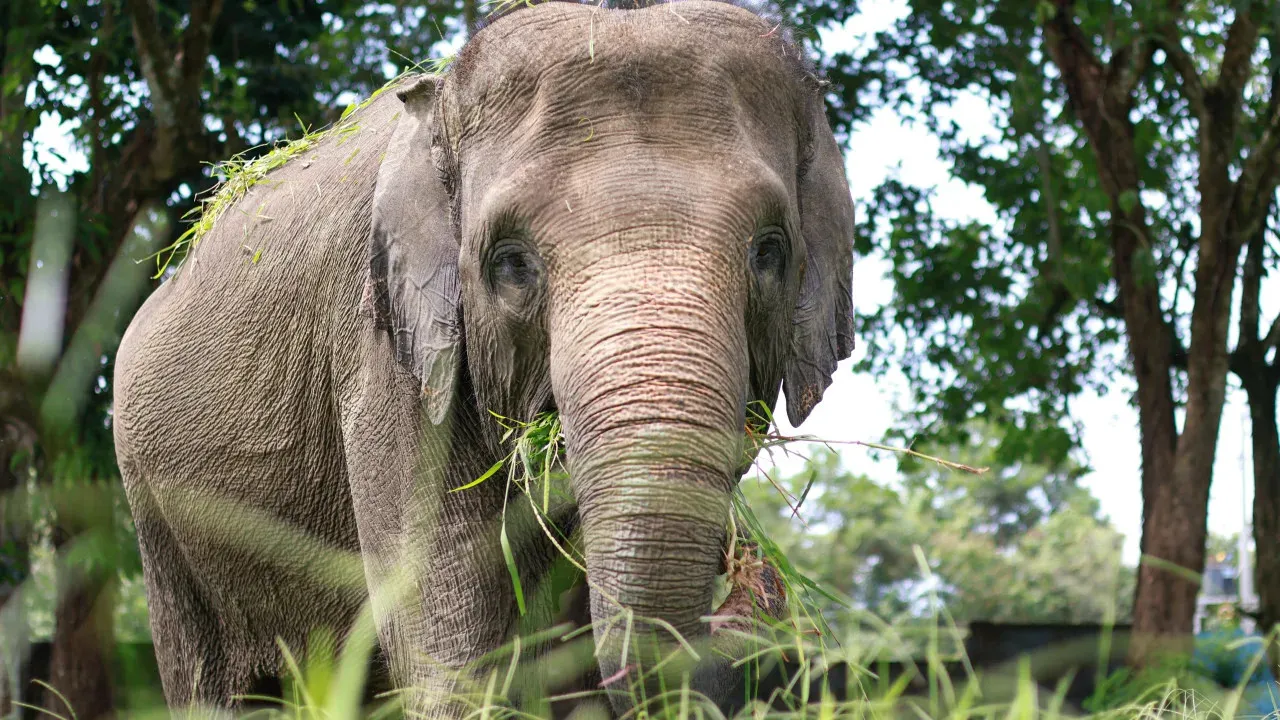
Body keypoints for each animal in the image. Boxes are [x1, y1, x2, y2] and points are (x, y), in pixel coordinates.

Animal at [111, 0, 855, 716]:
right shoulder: (384, 355)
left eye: (769, 251)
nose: (752, 573)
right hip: (156, 514)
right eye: (510, 263)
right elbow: (448, 626)